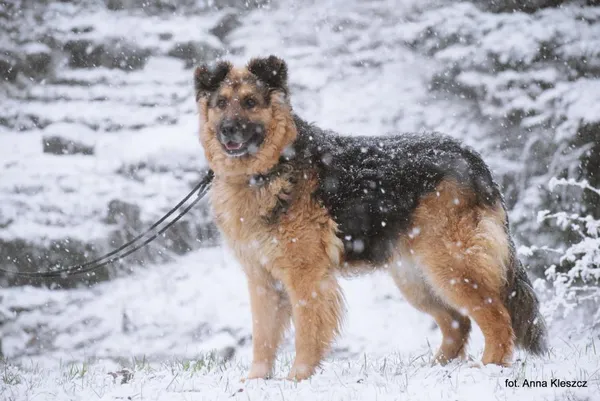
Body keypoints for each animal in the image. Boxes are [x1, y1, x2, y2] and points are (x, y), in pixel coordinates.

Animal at [193, 54, 548, 380]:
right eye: (221, 103)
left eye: (250, 102)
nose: (227, 130)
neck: (270, 167)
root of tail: (474, 160)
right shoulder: (262, 281)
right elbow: (263, 338)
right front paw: (256, 381)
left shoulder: (307, 279)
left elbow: (307, 334)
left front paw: (298, 379)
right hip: (416, 277)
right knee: (457, 322)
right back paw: (435, 371)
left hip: (452, 265)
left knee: (497, 317)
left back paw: (488, 369)